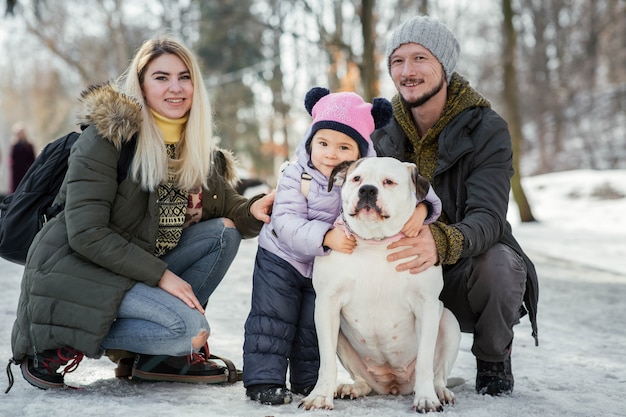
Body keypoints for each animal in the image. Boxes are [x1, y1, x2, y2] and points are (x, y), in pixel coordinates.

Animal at [300, 157, 460, 412]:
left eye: (389, 182)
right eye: (356, 179)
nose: (367, 190)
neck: (375, 241)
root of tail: (393, 385)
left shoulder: (426, 305)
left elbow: (425, 361)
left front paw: (426, 398)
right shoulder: (326, 305)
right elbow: (326, 362)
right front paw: (320, 396)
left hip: (448, 321)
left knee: (438, 374)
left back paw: (440, 392)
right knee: (363, 381)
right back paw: (351, 388)